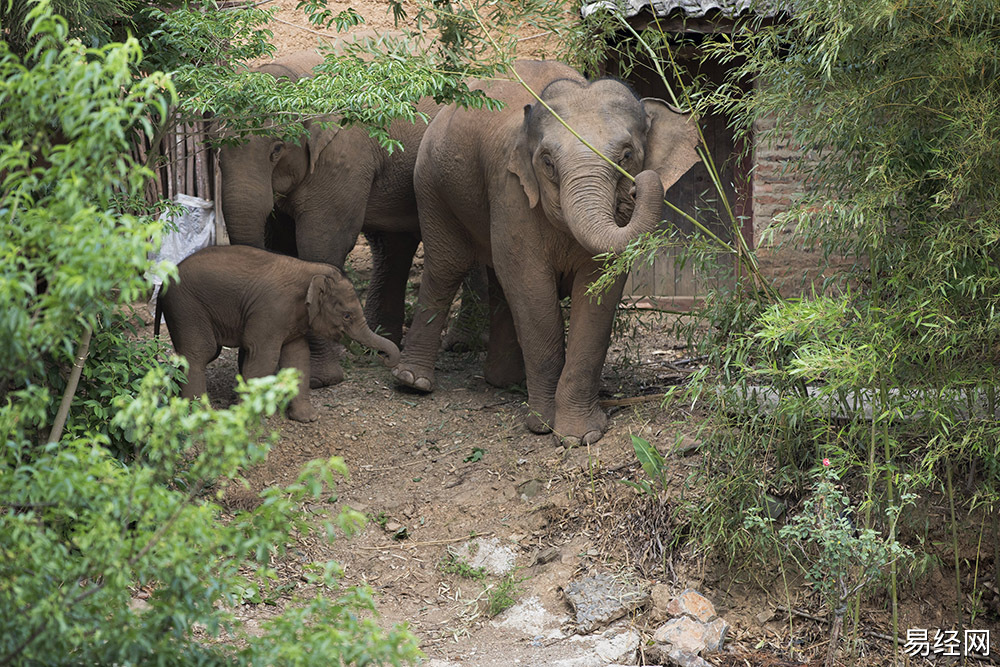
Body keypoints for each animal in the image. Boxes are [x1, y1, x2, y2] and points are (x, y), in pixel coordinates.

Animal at [160, 245, 398, 422]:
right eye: (347, 316)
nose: (388, 362)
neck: (310, 270)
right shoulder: (271, 312)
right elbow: (264, 357)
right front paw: (245, 417)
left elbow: (298, 356)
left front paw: (307, 419)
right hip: (186, 307)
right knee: (200, 352)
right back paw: (198, 414)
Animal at [221, 48, 444, 386]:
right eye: (215, 149)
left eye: (277, 148)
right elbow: (283, 245)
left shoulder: (342, 159)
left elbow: (320, 246)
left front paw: (320, 380)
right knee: (392, 245)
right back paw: (376, 349)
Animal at [394, 60, 700, 446]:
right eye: (548, 162)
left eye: (627, 155)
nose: (635, 188)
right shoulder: (513, 190)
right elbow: (531, 288)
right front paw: (544, 426)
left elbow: (598, 294)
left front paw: (579, 436)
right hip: (432, 186)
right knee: (446, 267)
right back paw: (413, 383)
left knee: (496, 277)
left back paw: (504, 380)